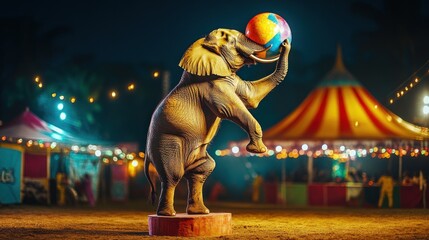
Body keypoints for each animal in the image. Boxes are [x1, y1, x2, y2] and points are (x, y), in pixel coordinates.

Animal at [145, 28, 290, 216]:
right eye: (231, 41)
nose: (283, 41)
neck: (204, 47)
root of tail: (147, 154)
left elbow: (251, 96)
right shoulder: (212, 85)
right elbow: (229, 109)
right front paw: (258, 150)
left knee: (203, 169)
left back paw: (200, 212)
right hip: (166, 142)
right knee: (173, 174)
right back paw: (168, 214)